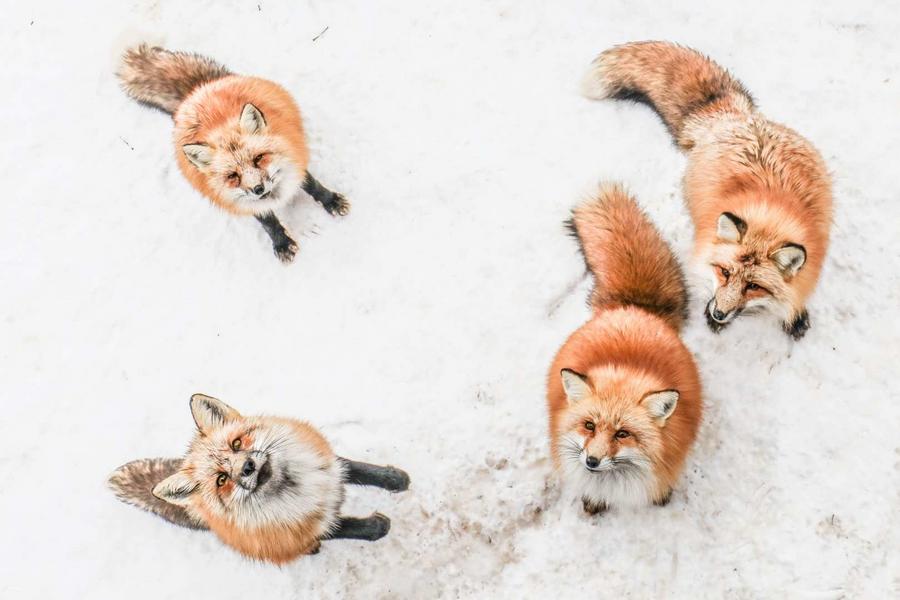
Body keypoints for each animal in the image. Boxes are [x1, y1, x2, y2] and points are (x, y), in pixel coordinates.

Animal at [108, 394, 412, 564]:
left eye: (236, 444)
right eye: (221, 480)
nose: (247, 467)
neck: (298, 486)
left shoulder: (328, 465)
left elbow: (360, 470)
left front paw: (395, 478)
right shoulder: (298, 531)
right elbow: (347, 528)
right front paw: (377, 527)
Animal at [116, 45, 348, 262]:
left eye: (258, 158)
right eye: (232, 176)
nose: (257, 188)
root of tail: (196, 91)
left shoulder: (295, 161)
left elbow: (314, 186)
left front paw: (332, 201)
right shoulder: (237, 200)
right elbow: (268, 222)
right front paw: (282, 243)